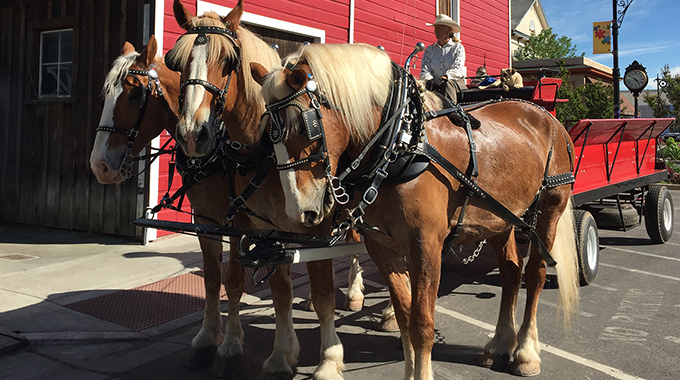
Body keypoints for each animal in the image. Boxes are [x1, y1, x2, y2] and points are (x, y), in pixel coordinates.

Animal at [252, 43, 580, 378]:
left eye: (305, 126)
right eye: (267, 133)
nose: (298, 211)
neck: (401, 142)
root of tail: (546, 117)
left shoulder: (426, 246)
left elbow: (422, 323)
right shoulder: (384, 247)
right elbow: (404, 316)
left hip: (549, 210)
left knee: (536, 274)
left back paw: (526, 351)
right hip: (500, 218)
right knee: (512, 272)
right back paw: (500, 343)